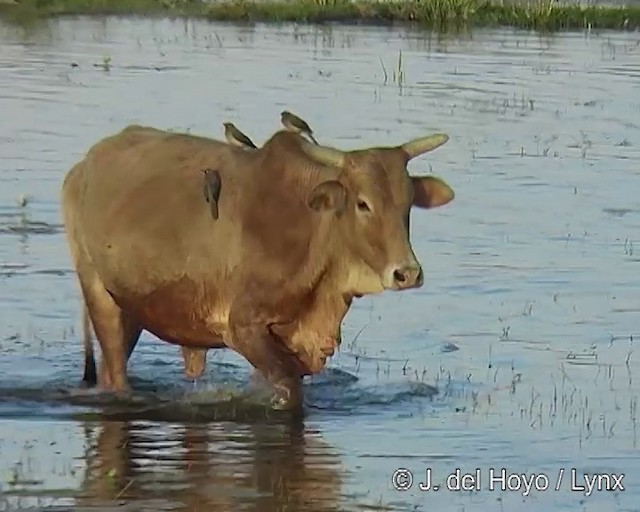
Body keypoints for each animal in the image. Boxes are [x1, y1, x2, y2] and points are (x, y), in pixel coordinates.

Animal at [58, 125, 450, 412]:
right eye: (362, 203)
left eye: (408, 203)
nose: (408, 273)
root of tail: (84, 166)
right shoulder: (243, 327)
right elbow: (289, 393)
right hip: (98, 294)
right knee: (115, 376)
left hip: (134, 308)